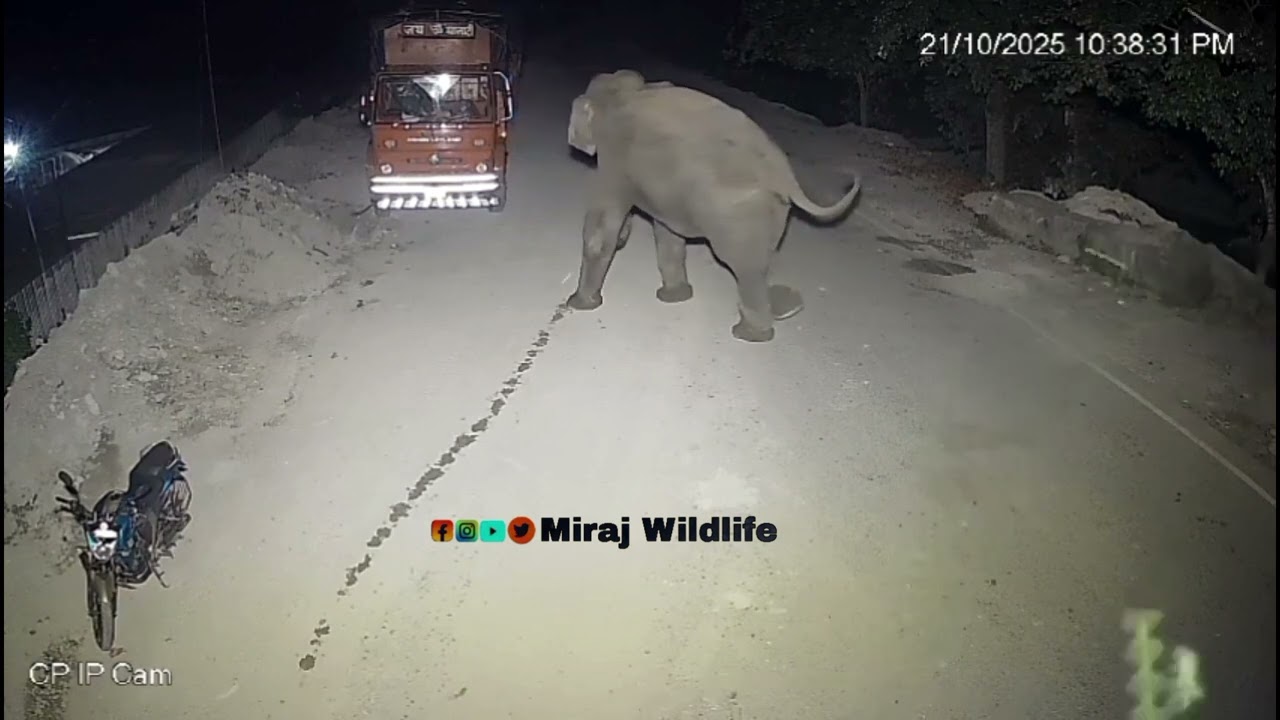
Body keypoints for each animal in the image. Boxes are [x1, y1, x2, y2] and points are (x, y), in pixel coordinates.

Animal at [565, 69, 862, 342]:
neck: (622, 93)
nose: (624, 239)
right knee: (760, 262)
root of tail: (784, 175)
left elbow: (602, 229)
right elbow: (668, 235)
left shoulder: (615, 159)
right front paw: (674, 296)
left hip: (738, 213)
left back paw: (750, 333)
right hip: (771, 210)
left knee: (742, 265)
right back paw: (788, 306)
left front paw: (579, 304)